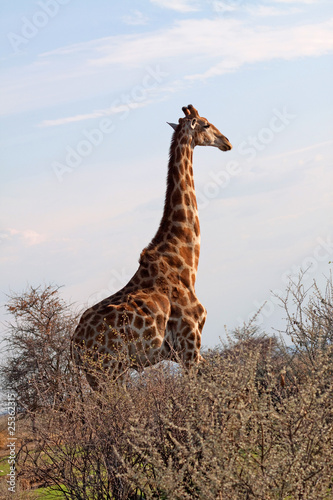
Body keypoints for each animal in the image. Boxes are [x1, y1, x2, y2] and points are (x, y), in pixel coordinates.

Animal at [70, 103, 231, 388]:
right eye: (205, 124)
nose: (227, 142)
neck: (186, 261)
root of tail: (75, 346)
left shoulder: (184, 352)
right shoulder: (189, 345)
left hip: (99, 376)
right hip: (111, 371)